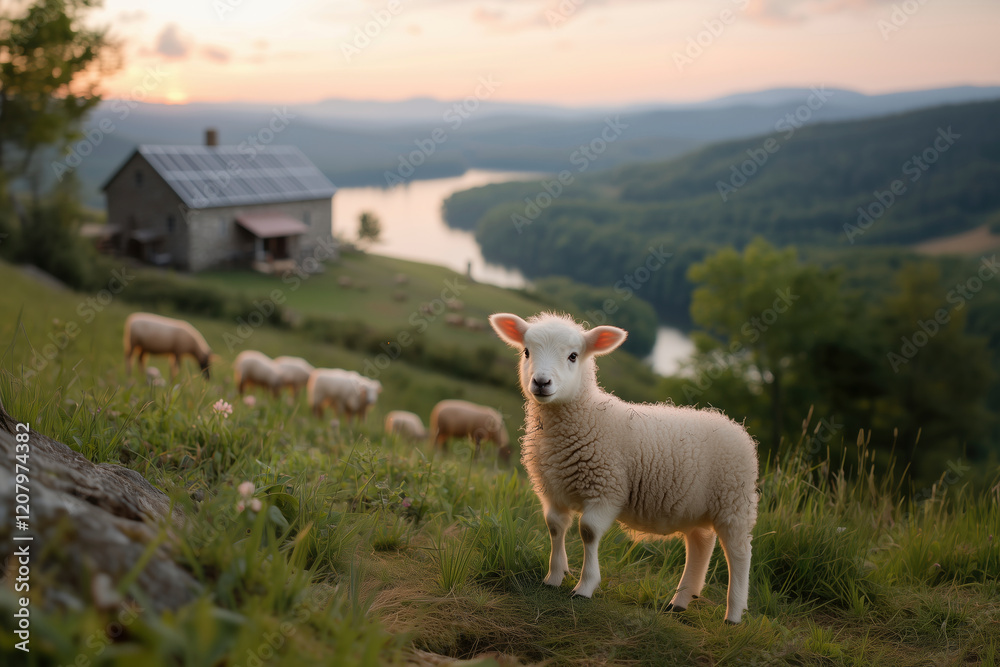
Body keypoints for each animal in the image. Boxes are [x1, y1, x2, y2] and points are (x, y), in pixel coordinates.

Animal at [489, 312, 759, 624]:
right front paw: (553, 578)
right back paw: (679, 602)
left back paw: (734, 614)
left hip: (734, 504)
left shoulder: (606, 489)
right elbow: (555, 527)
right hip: (696, 507)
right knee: (701, 544)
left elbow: (588, 531)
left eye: (573, 356)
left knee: (739, 553)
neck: (583, 417)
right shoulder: (552, 490)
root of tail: (735, 426)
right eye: (526, 351)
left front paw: (584, 587)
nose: (541, 382)